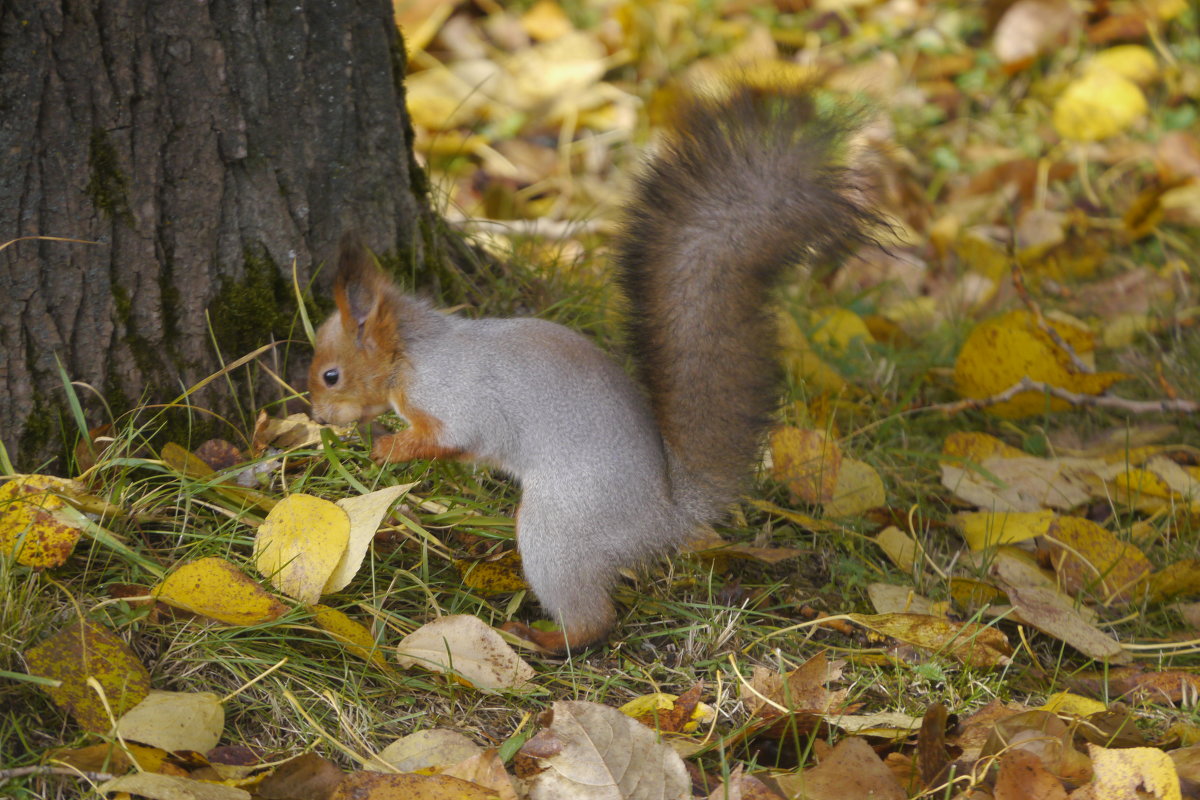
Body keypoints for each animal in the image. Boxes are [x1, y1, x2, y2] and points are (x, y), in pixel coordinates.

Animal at [309, 81, 873, 657]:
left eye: (331, 374)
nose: (316, 417)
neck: (415, 353)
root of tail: (665, 517)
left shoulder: (457, 397)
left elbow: (453, 436)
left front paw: (388, 447)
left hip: (559, 530)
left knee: (594, 617)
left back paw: (540, 637)